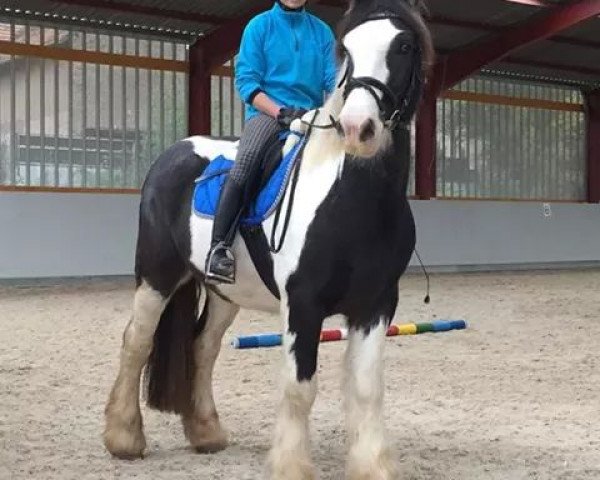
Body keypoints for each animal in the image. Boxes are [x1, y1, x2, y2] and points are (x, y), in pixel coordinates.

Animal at [103, 1, 432, 478]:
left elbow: (367, 388)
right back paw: (124, 438)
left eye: (403, 46)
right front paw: (291, 465)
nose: (357, 128)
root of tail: (173, 153)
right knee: (137, 342)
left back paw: (206, 433)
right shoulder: (303, 303)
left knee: (203, 346)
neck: (353, 200)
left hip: (224, 291)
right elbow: (299, 387)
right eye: (347, 52)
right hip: (157, 276)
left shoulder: (376, 304)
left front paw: (372, 466)